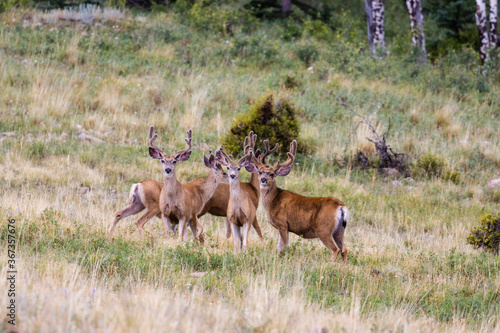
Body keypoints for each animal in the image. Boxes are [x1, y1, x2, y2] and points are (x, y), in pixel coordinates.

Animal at [111, 131, 264, 237]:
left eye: (174, 161)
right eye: (224, 172)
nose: (231, 177)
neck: (201, 191)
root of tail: (138, 184)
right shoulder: (193, 213)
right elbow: (196, 230)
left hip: (137, 204)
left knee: (119, 213)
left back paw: (110, 234)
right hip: (152, 206)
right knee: (138, 222)